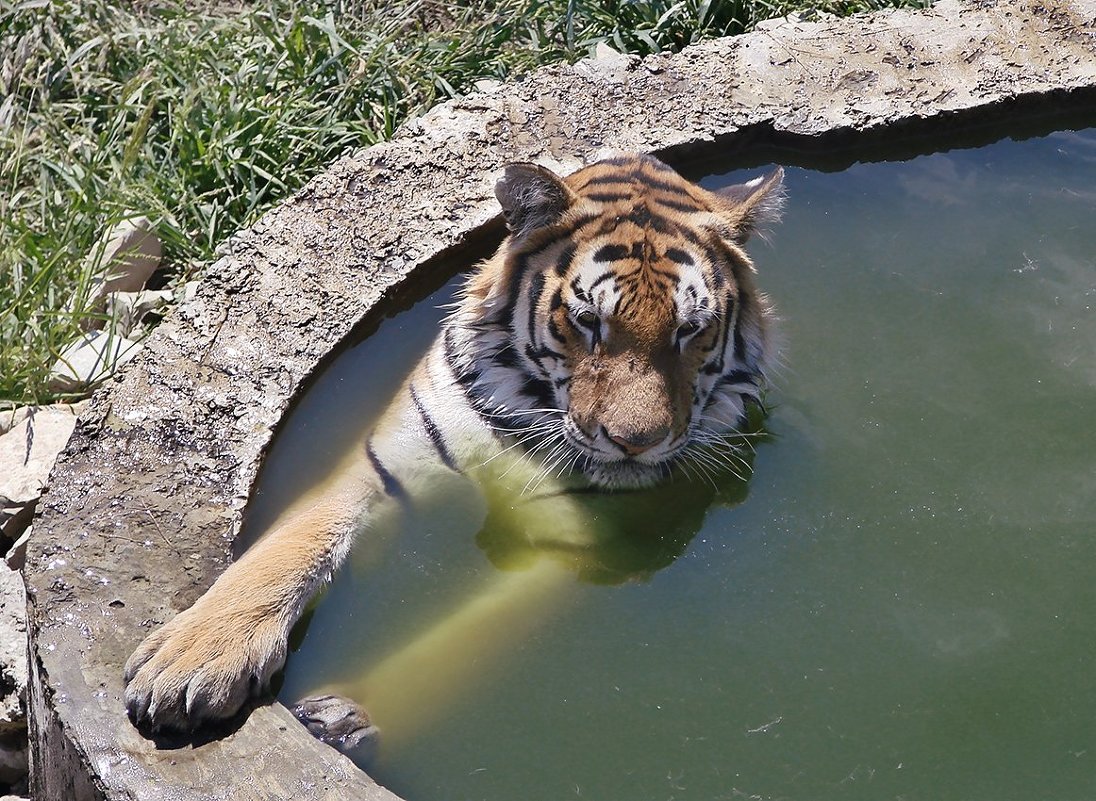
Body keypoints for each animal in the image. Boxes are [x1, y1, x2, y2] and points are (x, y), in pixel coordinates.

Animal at [124, 152, 784, 740]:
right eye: (587, 321)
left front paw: (346, 712)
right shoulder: (375, 467)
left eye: (690, 330)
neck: (524, 421)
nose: (635, 442)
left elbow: (461, 641)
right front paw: (193, 657)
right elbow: (287, 550)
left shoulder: (587, 544)